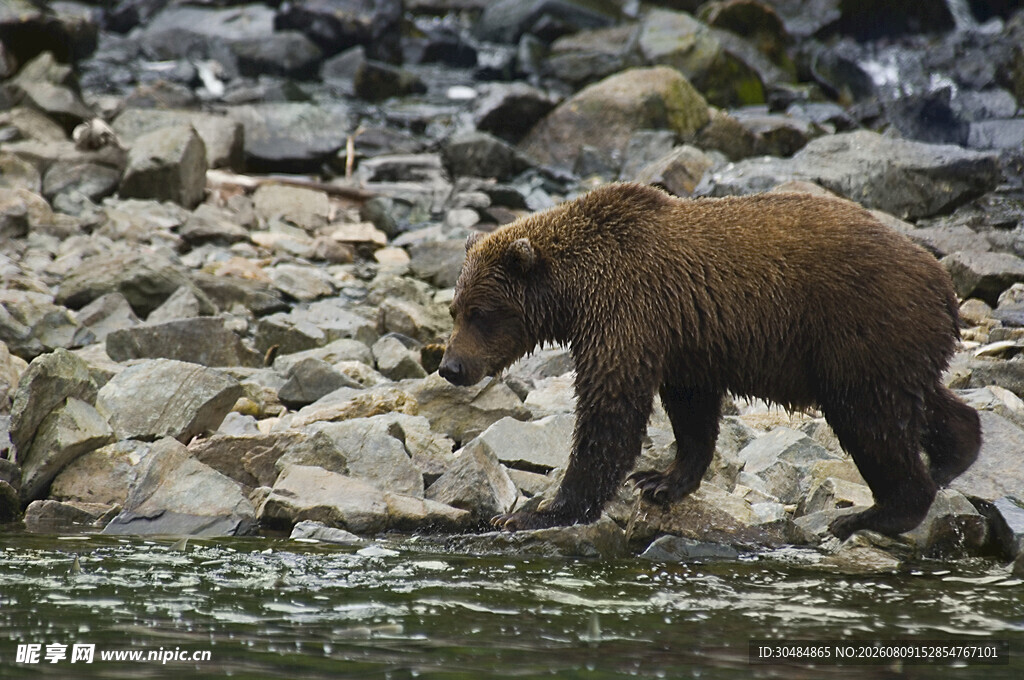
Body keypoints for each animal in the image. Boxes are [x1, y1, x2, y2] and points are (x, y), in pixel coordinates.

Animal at [438, 182, 981, 539]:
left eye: (482, 313)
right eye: (455, 309)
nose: (450, 367)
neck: (575, 293)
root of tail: (942, 283)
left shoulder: (628, 312)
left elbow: (610, 411)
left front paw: (537, 511)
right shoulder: (685, 335)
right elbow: (691, 408)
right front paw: (662, 480)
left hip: (859, 329)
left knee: (870, 419)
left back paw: (873, 514)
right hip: (893, 345)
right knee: (919, 401)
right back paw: (955, 454)